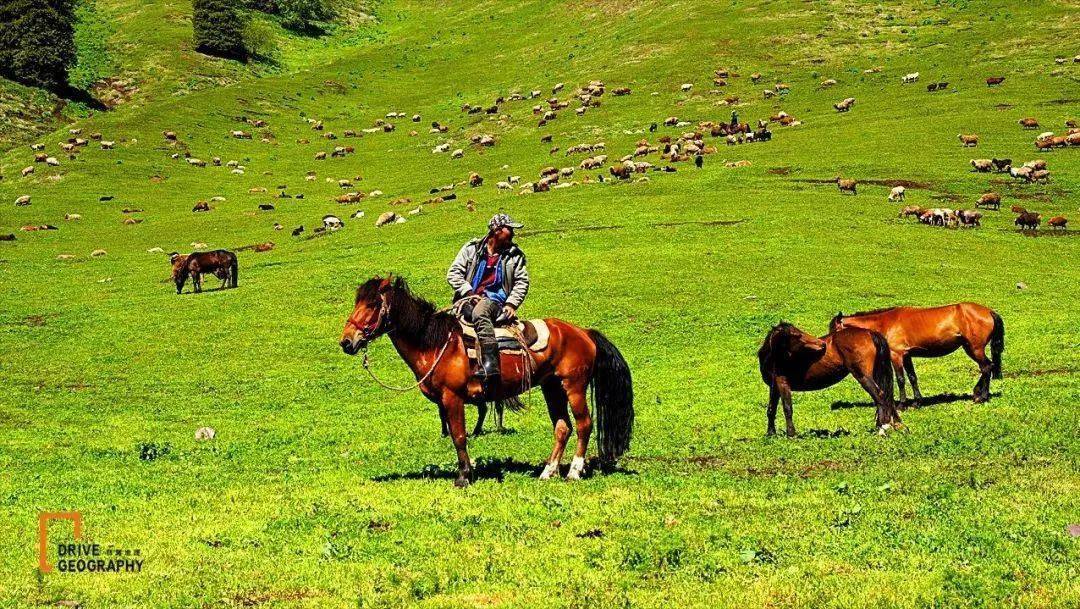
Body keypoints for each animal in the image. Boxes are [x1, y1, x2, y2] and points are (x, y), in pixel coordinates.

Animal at [341, 278, 635, 488]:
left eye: (372, 306)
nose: (346, 341)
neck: (437, 343)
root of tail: (584, 333)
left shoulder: (452, 398)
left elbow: (459, 436)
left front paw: (463, 476)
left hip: (574, 386)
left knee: (584, 424)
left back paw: (573, 471)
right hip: (552, 387)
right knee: (563, 427)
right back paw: (548, 471)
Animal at [760, 323, 902, 438]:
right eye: (797, 335)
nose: (822, 345)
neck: (777, 357)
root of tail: (869, 332)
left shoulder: (783, 384)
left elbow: (787, 408)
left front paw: (791, 434)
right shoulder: (774, 387)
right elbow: (771, 409)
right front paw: (770, 433)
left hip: (863, 376)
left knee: (880, 396)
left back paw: (882, 428)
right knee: (886, 398)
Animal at [829, 302, 1006, 403]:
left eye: (834, 331)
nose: (830, 349)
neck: (885, 323)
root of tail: (989, 312)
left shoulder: (896, 355)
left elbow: (900, 379)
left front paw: (902, 404)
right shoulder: (907, 356)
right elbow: (912, 377)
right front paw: (917, 401)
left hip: (975, 349)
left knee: (986, 367)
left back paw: (982, 397)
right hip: (969, 348)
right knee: (987, 367)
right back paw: (978, 393)